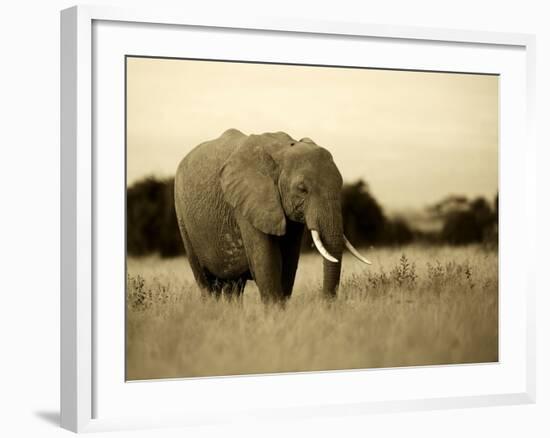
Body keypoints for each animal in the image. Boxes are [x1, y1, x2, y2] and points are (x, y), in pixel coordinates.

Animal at [175, 128, 370, 302]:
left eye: (340, 184)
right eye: (302, 189)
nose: (326, 304)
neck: (282, 151)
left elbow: (289, 262)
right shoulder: (248, 201)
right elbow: (266, 263)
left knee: (234, 286)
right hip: (182, 216)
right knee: (206, 283)